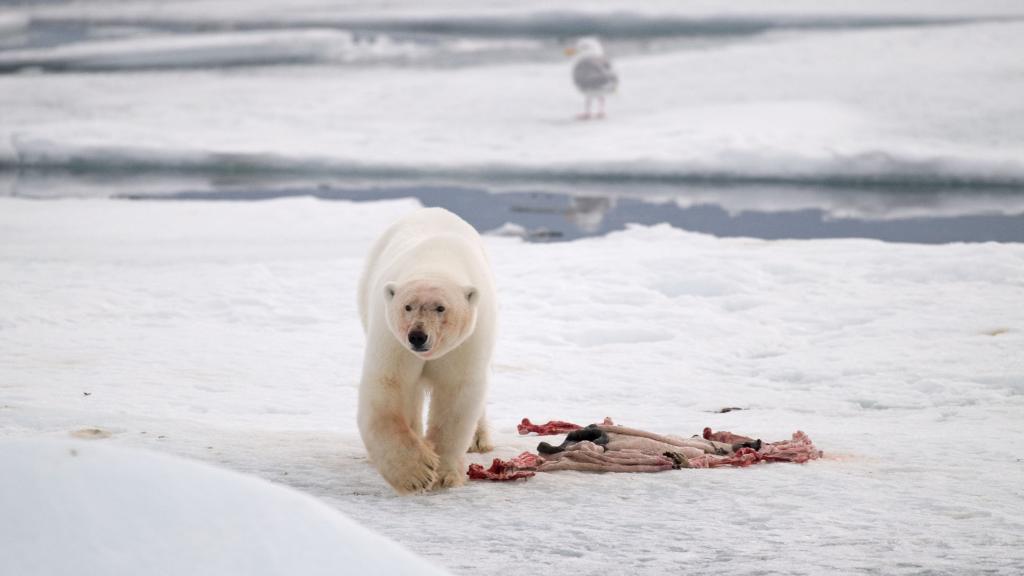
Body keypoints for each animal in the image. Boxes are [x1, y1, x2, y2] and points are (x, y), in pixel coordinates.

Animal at [356, 207, 497, 493]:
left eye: (441, 308)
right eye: (407, 306)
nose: (418, 336)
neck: (435, 261)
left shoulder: (466, 342)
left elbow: (456, 395)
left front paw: (444, 473)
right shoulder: (392, 339)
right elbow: (388, 386)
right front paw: (417, 472)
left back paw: (478, 440)